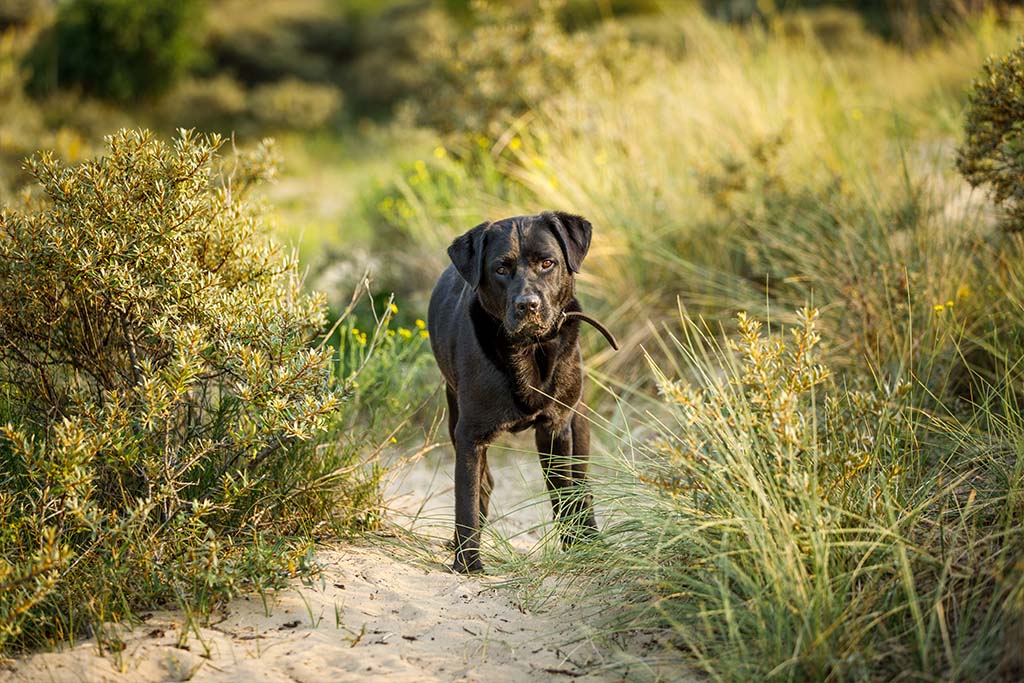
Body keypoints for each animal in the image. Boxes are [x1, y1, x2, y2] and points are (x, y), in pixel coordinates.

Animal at [428, 210, 602, 573]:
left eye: (547, 263)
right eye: (500, 269)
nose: (528, 305)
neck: (528, 349)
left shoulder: (555, 428)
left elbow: (564, 493)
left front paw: (575, 548)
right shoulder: (469, 435)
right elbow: (466, 498)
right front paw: (468, 563)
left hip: (578, 421)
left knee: (582, 487)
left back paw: (591, 537)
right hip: (453, 417)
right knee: (484, 484)